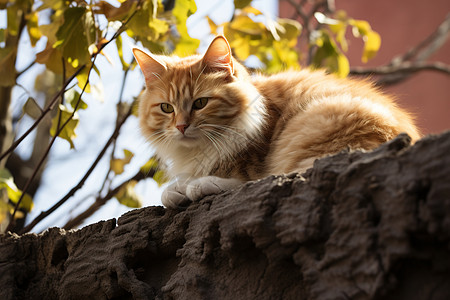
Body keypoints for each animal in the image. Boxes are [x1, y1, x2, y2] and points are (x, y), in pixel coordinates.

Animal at [132, 35, 420, 209]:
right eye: (166, 108)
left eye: (200, 103)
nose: (181, 127)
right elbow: (170, 191)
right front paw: (179, 188)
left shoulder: (253, 163)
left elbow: (243, 179)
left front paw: (192, 185)